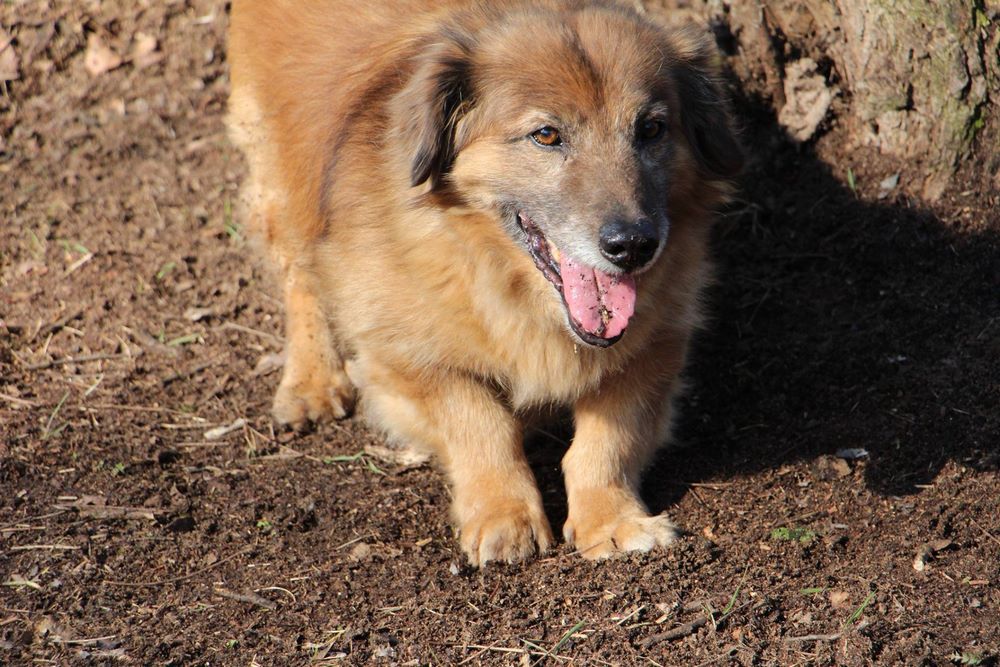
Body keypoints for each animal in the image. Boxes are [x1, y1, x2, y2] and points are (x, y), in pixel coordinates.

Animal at [227, 0, 741, 566]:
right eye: (546, 135)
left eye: (651, 128)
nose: (633, 246)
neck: (499, 276)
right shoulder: (404, 358)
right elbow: (480, 420)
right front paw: (504, 514)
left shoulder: (658, 344)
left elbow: (607, 438)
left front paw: (612, 520)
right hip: (276, 172)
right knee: (297, 273)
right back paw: (312, 380)